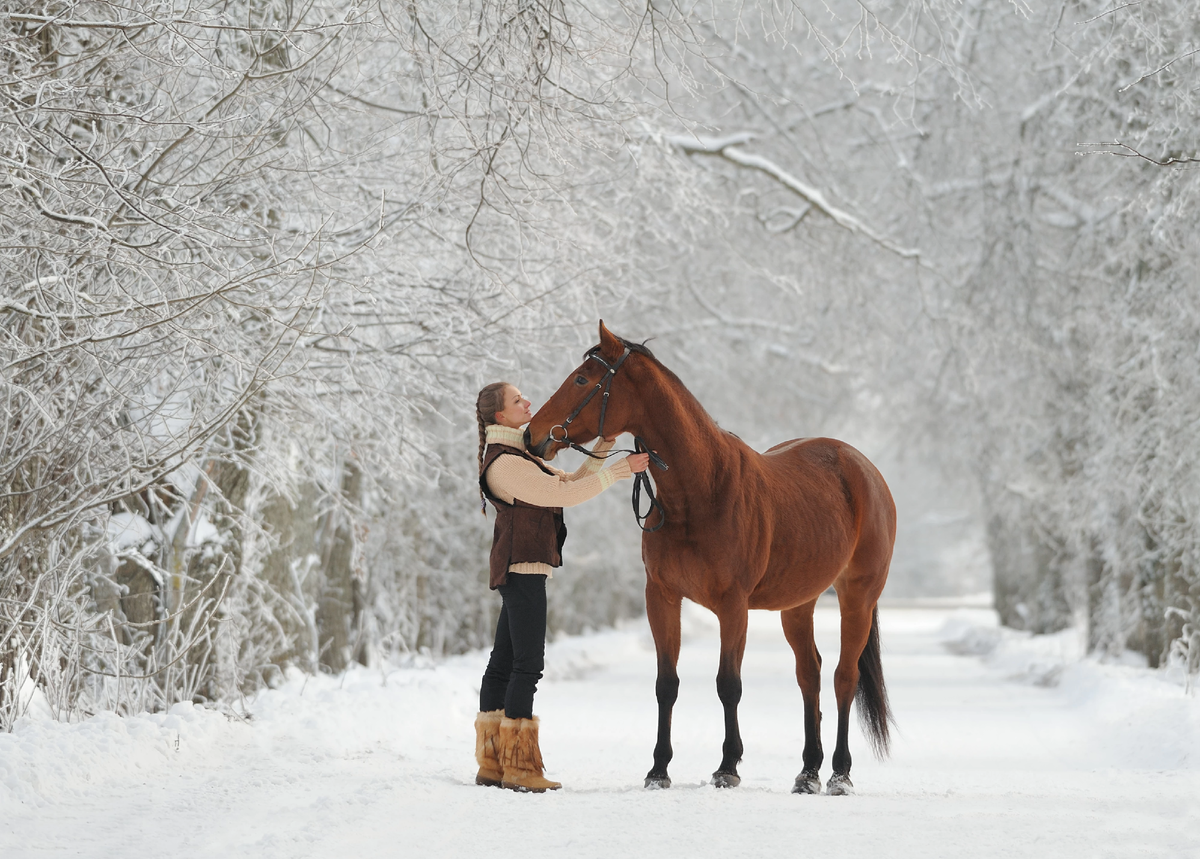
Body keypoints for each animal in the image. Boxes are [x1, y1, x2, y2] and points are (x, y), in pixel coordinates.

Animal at [530, 323, 897, 796]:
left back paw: (839, 774)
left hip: (858, 598)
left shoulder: (733, 605)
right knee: (810, 675)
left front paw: (727, 766)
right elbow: (666, 684)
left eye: (581, 379)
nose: (533, 435)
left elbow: (728, 685)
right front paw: (658, 769)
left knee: (843, 678)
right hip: (798, 605)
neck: (702, 491)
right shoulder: (662, 597)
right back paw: (808, 772)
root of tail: (863, 468)